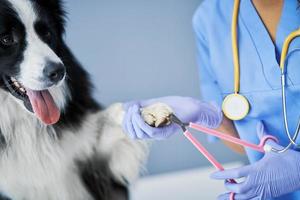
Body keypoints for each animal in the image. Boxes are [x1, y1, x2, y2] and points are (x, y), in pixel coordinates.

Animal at [0, 0, 173, 199]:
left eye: (46, 33)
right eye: (6, 39)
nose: (59, 71)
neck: (23, 122)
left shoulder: (95, 164)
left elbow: (113, 117)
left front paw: (148, 112)